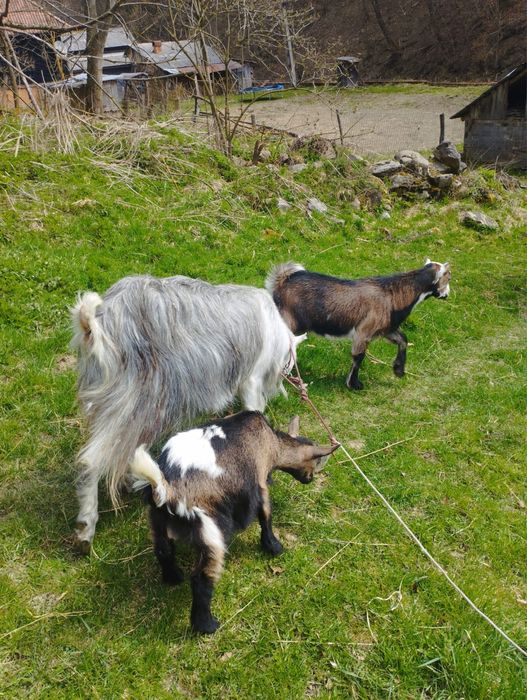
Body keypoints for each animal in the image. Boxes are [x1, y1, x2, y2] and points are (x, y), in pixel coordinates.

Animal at [70, 274, 305, 552]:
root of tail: (95, 323)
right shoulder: (251, 379)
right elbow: (253, 410)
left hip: (106, 399)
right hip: (137, 399)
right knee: (92, 461)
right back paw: (86, 527)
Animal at [129, 411, 338, 634]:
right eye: (316, 462)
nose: (310, 479)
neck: (272, 442)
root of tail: (167, 489)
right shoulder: (260, 483)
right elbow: (265, 514)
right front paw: (274, 547)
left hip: (157, 519)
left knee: (163, 550)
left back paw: (173, 578)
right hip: (210, 530)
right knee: (201, 579)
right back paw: (207, 625)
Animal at [266, 259, 451, 390]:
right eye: (449, 277)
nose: (447, 295)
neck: (393, 294)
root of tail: (281, 280)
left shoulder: (385, 328)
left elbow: (403, 339)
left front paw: (398, 370)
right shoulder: (365, 330)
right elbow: (359, 356)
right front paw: (354, 385)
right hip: (289, 322)